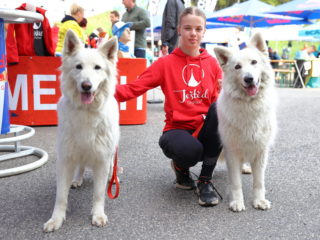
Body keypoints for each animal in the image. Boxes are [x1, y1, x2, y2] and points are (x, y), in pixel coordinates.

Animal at [43, 29, 120, 232]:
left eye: (97, 68)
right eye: (78, 67)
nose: (86, 86)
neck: (87, 111)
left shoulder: (102, 159)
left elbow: (99, 194)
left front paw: (98, 215)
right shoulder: (65, 159)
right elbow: (61, 196)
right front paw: (56, 219)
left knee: (111, 167)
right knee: (81, 166)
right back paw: (77, 179)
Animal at [215, 32, 278, 212]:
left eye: (254, 62)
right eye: (237, 67)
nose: (249, 79)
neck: (249, 105)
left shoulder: (261, 150)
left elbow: (259, 182)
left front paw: (259, 201)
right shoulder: (232, 151)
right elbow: (236, 182)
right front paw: (237, 202)